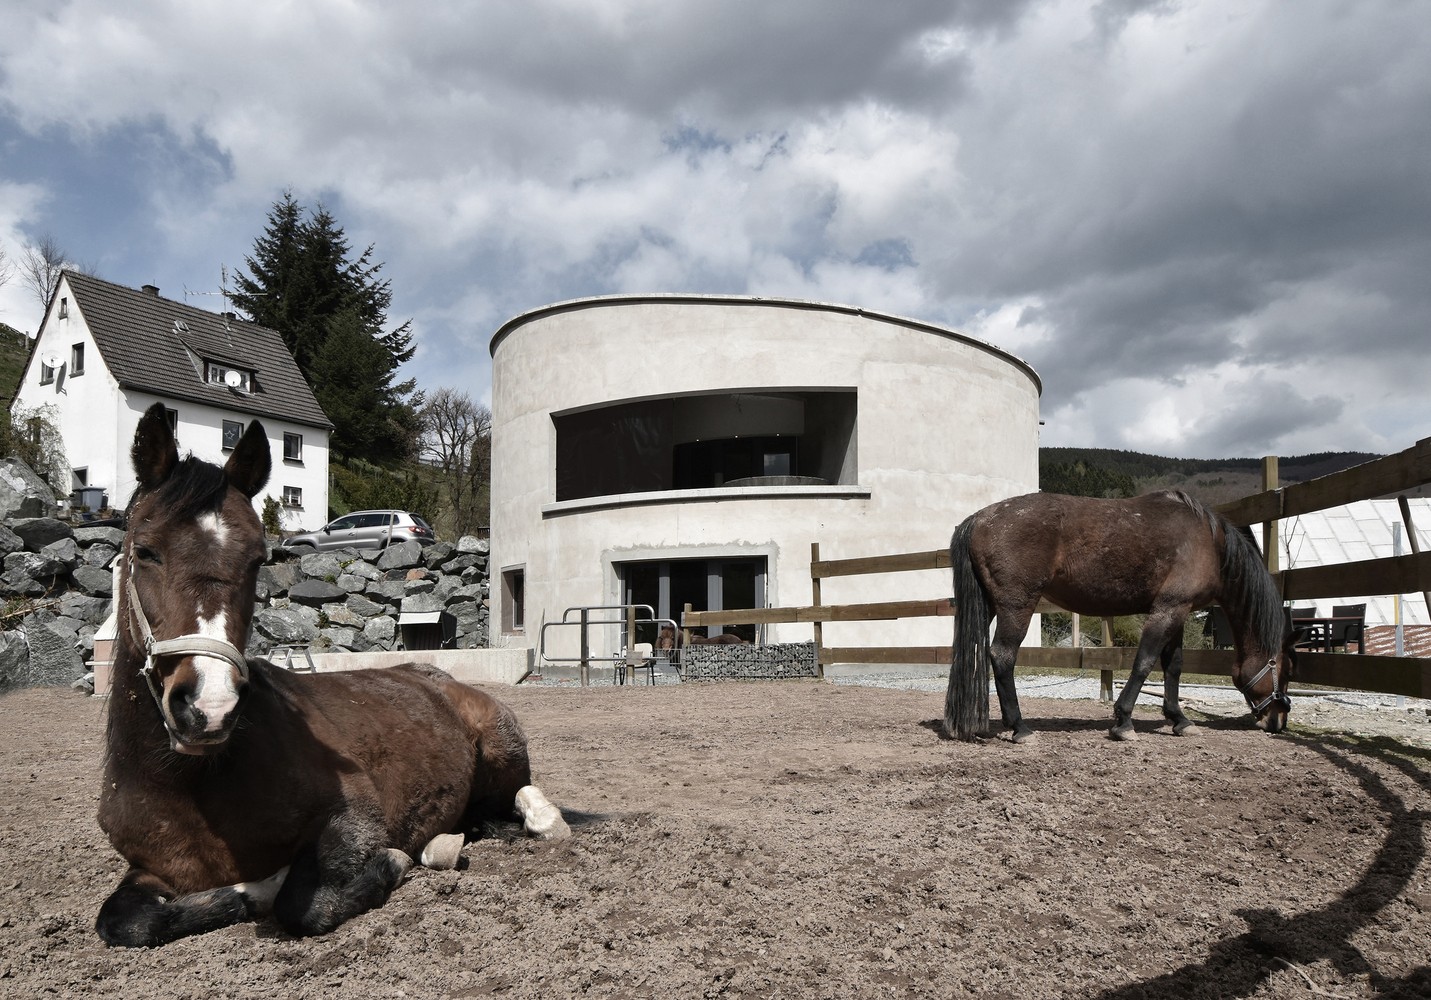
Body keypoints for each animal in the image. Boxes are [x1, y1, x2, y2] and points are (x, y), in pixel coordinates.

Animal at [92, 406, 563, 944]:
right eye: (144, 551)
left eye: (258, 560)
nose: (210, 707)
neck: (192, 785)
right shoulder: (149, 868)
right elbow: (125, 921)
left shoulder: (352, 816)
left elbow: (302, 905)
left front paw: (388, 863)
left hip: (502, 745)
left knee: (519, 802)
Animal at [950, 492, 1299, 743]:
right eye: (1287, 670)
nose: (1278, 721)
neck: (1209, 543)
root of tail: (977, 519)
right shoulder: (1167, 609)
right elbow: (1144, 662)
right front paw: (1124, 721)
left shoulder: (1179, 611)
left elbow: (1173, 666)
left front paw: (1179, 719)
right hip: (1017, 606)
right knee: (1002, 656)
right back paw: (1019, 728)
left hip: (991, 605)